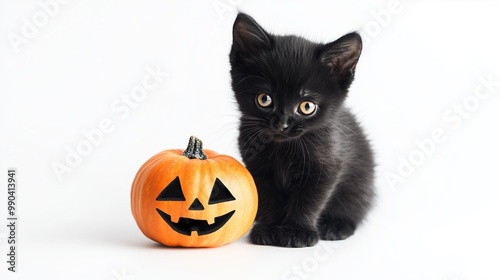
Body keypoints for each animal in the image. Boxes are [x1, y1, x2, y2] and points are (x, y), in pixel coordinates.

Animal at [229, 14, 374, 248]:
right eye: (264, 99)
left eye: (307, 106)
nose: (282, 124)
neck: (283, 149)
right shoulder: (257, 167)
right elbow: (268, 198)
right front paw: (269, 229)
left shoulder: (327, 166)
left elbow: (309, 200)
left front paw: (297, 232)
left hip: (361, 181)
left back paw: (336, 226)